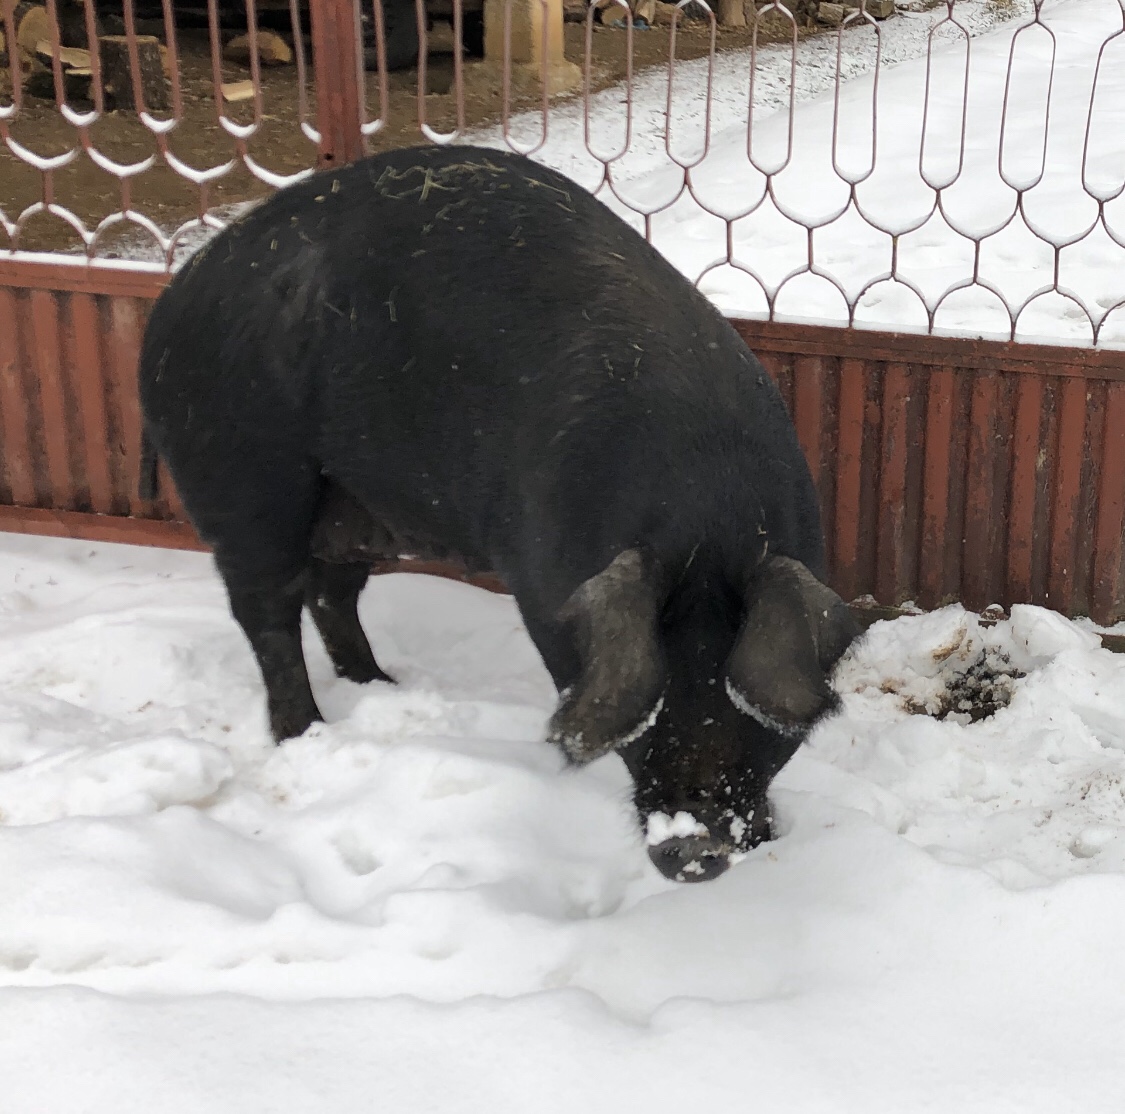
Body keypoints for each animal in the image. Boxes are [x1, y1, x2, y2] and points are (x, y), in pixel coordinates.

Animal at [142, 144, 859, 886]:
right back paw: (306, 732)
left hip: (348, 505)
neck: (707, 518)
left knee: (331, 593)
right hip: (244, 482)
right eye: (655, 704)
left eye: (741, 707)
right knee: (268, 611)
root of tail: (171, 300)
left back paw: (382, 686)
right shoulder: (539, 584)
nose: (693, 847)